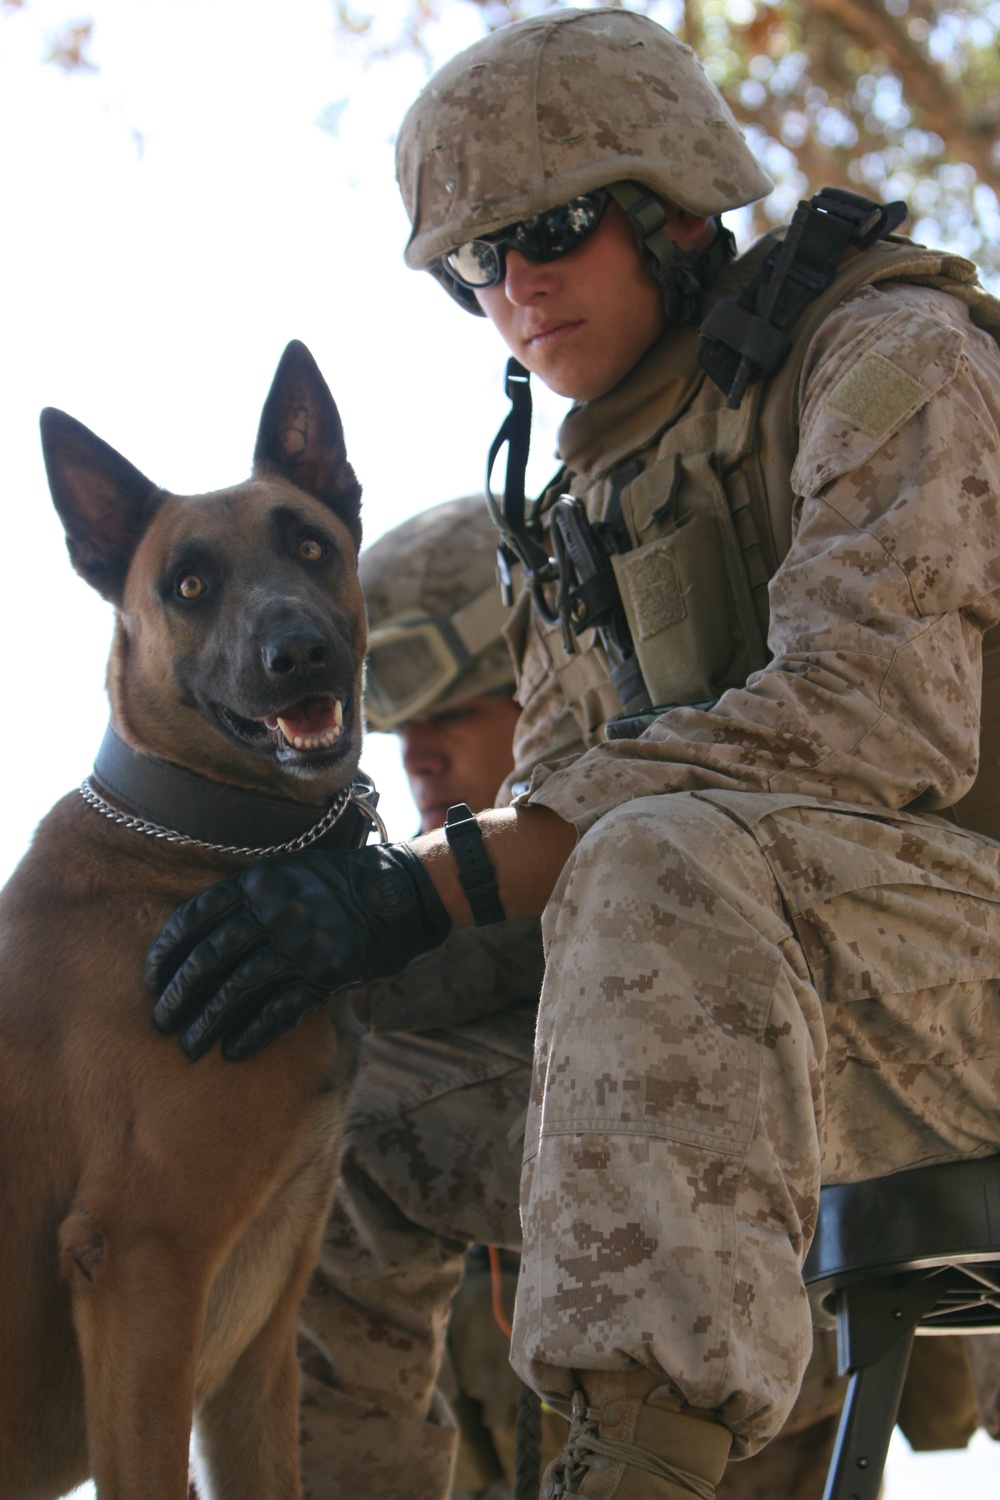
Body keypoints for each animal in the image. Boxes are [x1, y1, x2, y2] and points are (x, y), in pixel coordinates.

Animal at [0, 343, 371, 1500]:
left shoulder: (260, 1342)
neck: (197, 848)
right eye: (190, 587)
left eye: (310, 545)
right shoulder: (144, 1271)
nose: (298, 653)